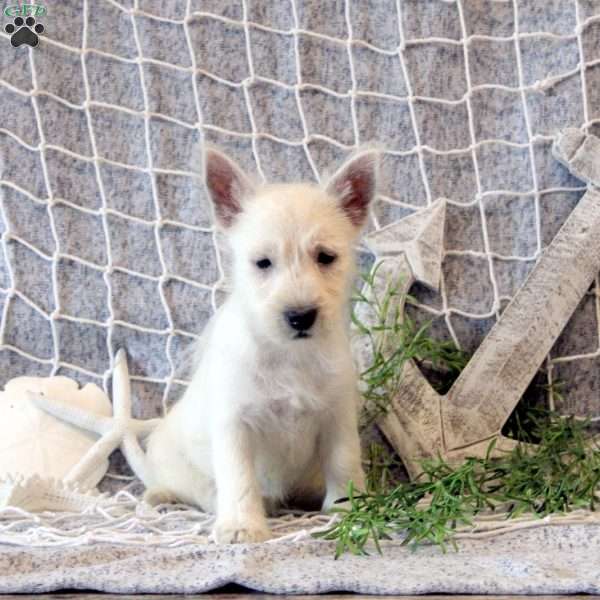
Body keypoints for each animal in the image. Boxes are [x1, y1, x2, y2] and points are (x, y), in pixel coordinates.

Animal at [142, 146, 376, 544]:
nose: (300, 316)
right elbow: (239, 478)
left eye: (326, 257)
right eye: (263, 263)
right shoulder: (234, 425)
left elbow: (344, 462)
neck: (289, 355)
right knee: (197, 489)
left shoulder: (337, 417)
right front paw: (241, 526)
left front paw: (350, 510)